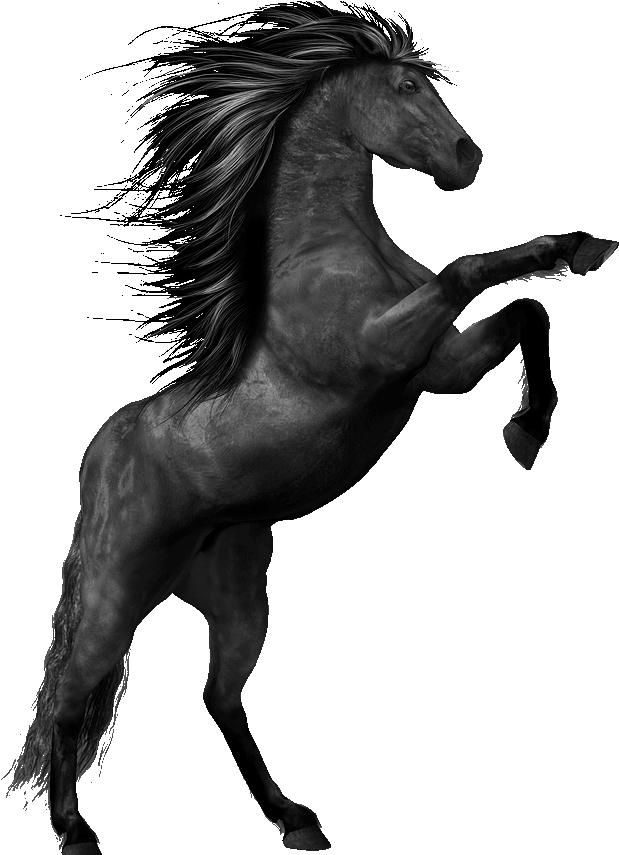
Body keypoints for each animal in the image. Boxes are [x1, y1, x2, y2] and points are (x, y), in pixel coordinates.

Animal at [7, 7, 616, 853]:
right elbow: (467, 269)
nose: (466, 158)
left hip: (236, 600)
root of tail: (98, 457)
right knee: (73, 688)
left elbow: (527, 309)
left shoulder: (434, 369)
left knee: (219, 698)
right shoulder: (380, 354)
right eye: (405, 86)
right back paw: (75, 829)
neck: (333, 250)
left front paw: (530, 419)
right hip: (116, 585)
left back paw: (294, 817)